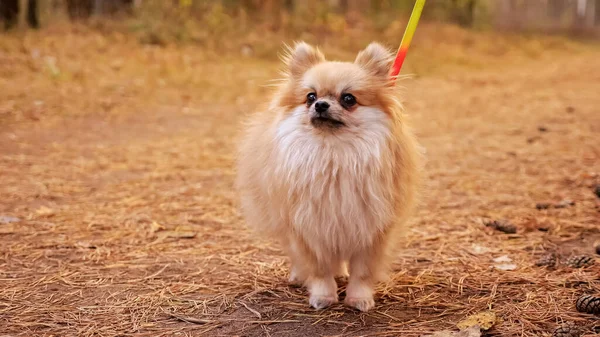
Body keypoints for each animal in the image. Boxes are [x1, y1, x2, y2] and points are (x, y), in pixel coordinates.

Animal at [236, 40, 422, 312]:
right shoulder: (308, 226)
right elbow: (319, 268)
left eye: (348, 99)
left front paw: (358, 298)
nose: (321, 105)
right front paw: (323, 295)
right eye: (310, 96)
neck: (334, 154)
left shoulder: (370, 227)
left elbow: (362, 272)